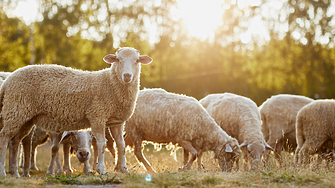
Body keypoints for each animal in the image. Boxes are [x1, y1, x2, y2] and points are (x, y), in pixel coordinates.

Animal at [0, 46, 153, 177]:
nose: (127, 76)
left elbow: (121, 145)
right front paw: (102, 170)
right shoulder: (97, 115)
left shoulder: (117, 121)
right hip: (15, 110)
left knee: (15, 141)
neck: (110, 83)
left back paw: (15, 173)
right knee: (4, 137)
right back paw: (3, 172)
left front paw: (124, 169)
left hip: (25, 117)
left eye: (137, 61)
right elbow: (102, 144)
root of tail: (7, 81)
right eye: (118, 59)